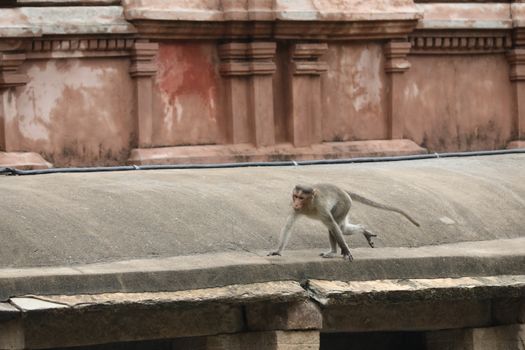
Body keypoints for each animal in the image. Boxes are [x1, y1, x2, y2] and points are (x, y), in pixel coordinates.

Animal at [268, 185, 420, 262]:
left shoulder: (320, 206)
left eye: (301, 197)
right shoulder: (294, 208)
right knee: (340, 228)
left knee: (336, 226)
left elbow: (333, 225)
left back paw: (338, 249)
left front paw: (346, 250)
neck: (308, 205)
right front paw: (277, 250)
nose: (296, 203)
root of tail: (344, 191)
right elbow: (288, 225)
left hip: (344, 204)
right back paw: (363, 231)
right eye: (295, 196)